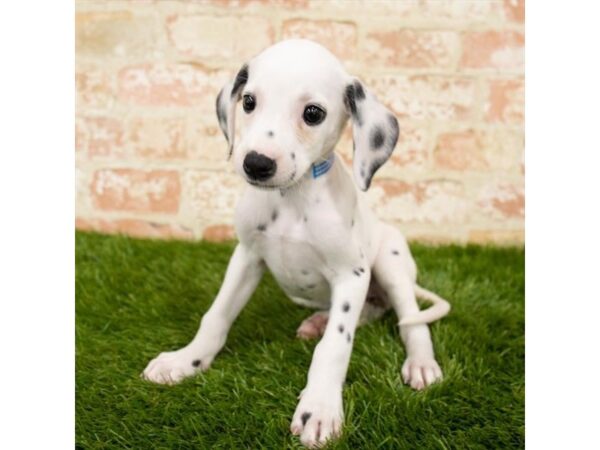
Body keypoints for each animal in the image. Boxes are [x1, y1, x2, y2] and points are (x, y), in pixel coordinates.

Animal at [142, 40, 450, 448]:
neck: (293, 197)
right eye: (249, 102)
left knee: (409, 321)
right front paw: (186, 360)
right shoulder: (247, 256)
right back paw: (318, 321)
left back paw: (420, 363)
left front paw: (319, 408)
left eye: (313, 113)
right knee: (373, 310)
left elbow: (335, 346)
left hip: (390, 262)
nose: (256, 164)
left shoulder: (352, 274)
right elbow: (216, 316)